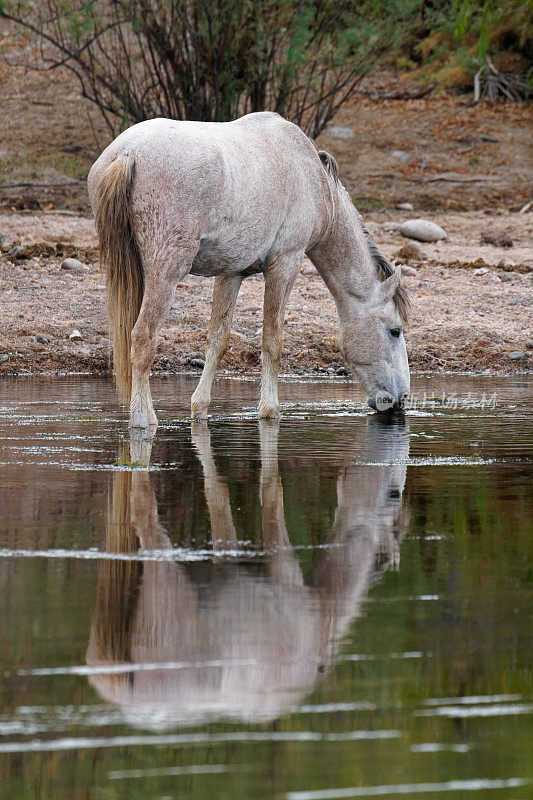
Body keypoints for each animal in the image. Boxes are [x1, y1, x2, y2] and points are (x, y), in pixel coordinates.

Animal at [88, 111, 408, 432]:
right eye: (395, 331)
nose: (401, 399)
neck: (315, 181)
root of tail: (127, 153)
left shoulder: (231, 274)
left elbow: (217, 341)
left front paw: (199, 407)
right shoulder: (285, 264)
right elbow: (272, 341)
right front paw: (269, 410)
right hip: (164, 275)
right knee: (143, 338)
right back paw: (143, 419)